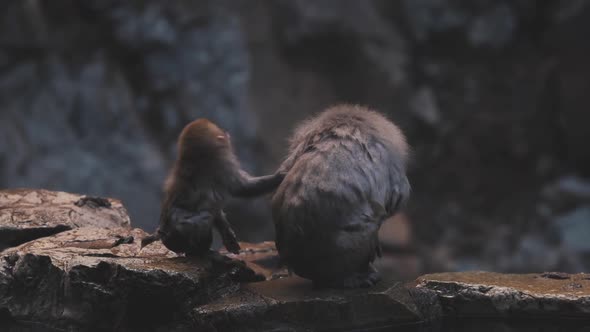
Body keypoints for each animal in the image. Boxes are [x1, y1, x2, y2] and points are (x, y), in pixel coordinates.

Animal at [141, 119, 284, 256]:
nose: (227, 136)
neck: (197, 158)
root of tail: (162, 233)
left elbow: (217, 207)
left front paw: (228, 236)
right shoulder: (222, 165)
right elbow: (241, 187)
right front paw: (279, 177)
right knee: (201, 218)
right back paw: (199, 251)